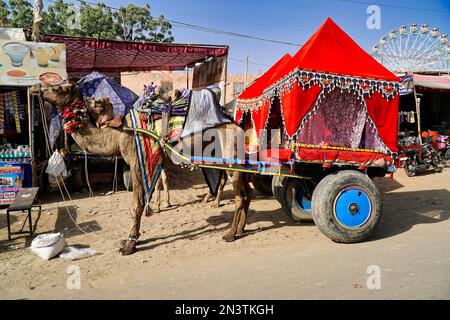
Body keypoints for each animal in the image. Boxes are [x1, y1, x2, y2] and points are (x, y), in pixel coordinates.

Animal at [31, 82, 253, 255]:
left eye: (57, 87)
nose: (35, 88)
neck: (120, 133)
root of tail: (239, 128)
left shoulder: (137, 162)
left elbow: (136, 205)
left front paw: (129, 244)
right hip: (235, 161)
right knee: (247, 192)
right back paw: (240, 229)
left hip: (231, 158)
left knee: (240, 195)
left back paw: (230, 234)